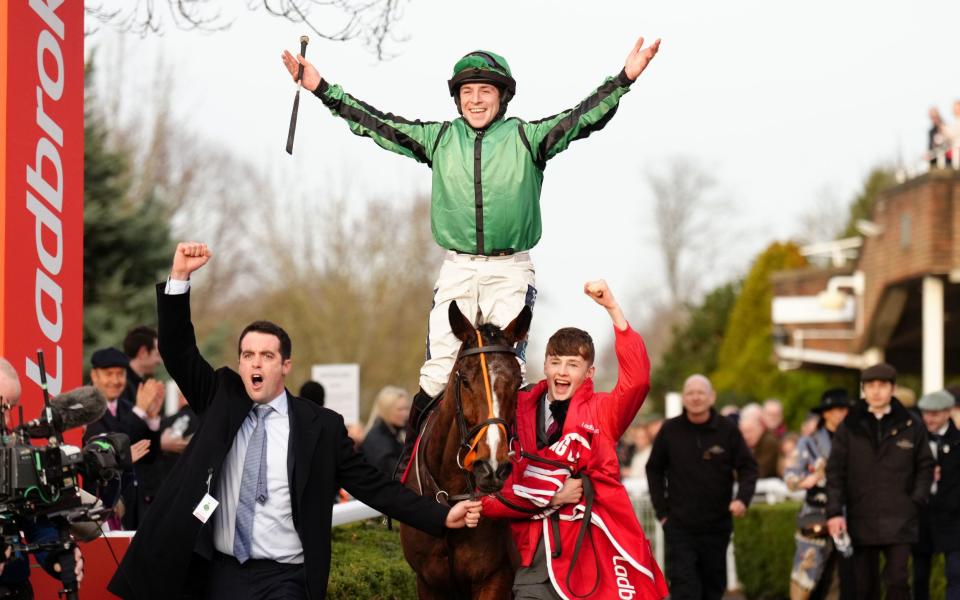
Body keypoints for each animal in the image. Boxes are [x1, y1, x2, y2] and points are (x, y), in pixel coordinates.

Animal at [398, 302, 532, 600]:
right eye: (466, 381)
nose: (492, 467)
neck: (451, 496)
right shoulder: (428, 581)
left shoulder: (495, 578)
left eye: (517, 382)